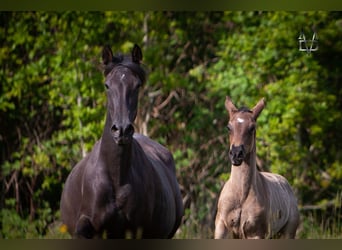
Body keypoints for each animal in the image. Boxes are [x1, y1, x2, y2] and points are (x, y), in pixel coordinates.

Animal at [214, 96, 300, 239]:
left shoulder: (256, 233)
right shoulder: (222, 228)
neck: (241, 196)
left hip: (287, 233)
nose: (236, 154)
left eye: (252, 128)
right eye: (228, 127)